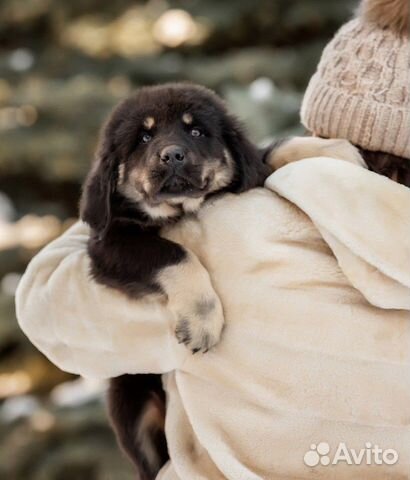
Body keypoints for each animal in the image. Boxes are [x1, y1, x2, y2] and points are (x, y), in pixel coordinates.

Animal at [79, 84, 270, 478]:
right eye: (144, 137)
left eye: (196, 131)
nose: (172, 156)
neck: (175, 211)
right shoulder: (110, 243)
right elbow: (174, 254)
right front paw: (201, 321)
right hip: (130, 399)